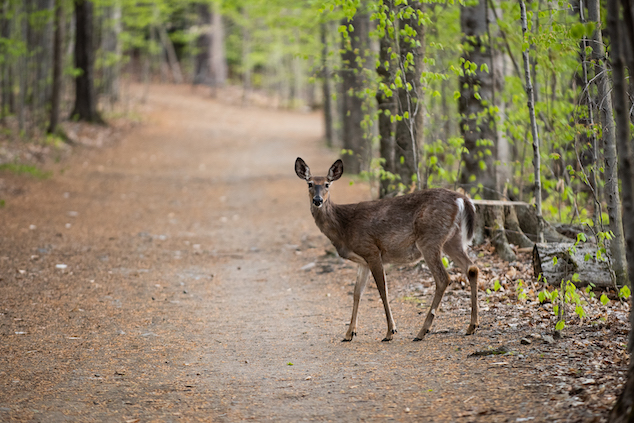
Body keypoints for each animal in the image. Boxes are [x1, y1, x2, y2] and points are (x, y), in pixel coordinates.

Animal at [294, 157, 476, 342]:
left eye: (327, 184)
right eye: (310, 183)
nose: (317, 200)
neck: (343, 227)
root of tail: (462, 199)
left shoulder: (372, 250)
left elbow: (382, 290)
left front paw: (390, 331)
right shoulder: (363, 260)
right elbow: (356, 292)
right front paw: (349, 333)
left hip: (430, 238)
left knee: (444, 278)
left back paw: (422, 331)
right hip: (452, 239)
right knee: (471, 268)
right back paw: (471, 326)